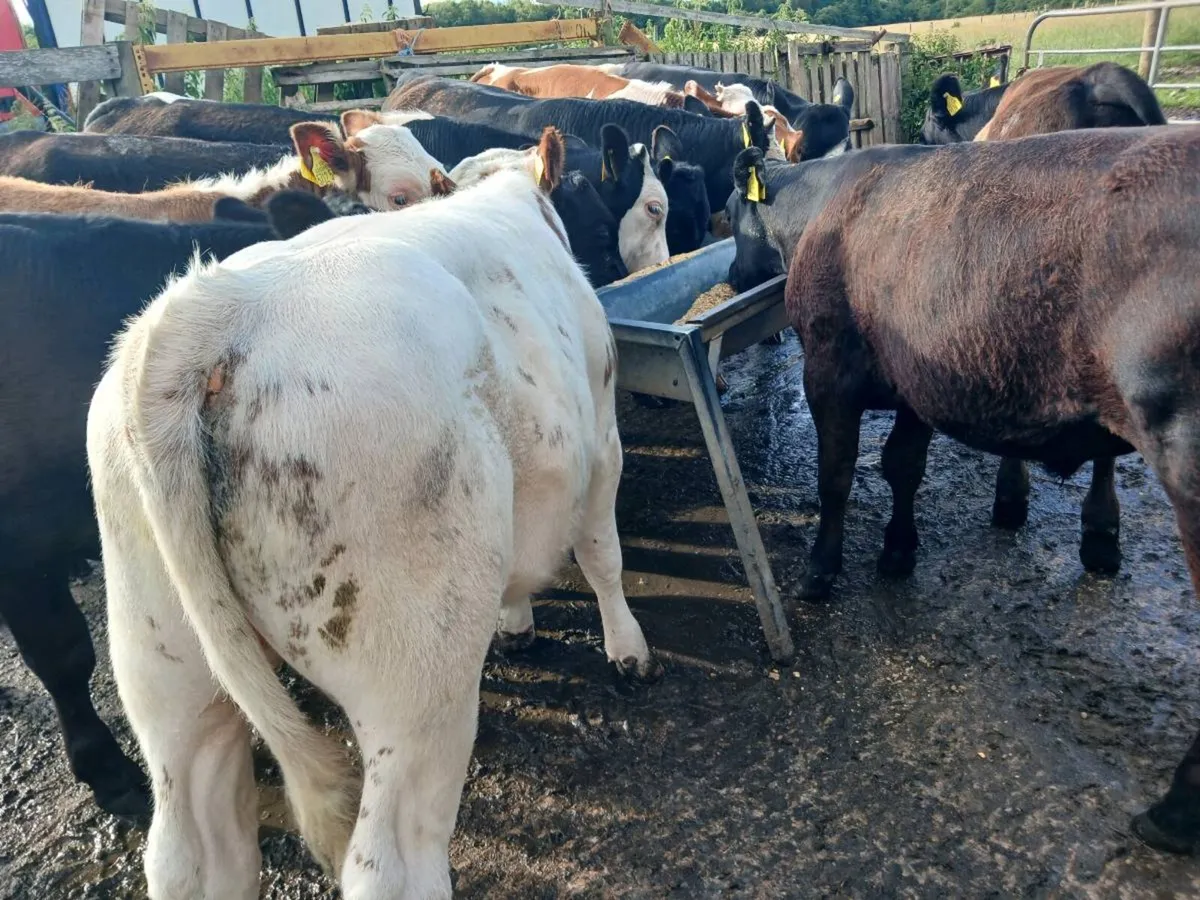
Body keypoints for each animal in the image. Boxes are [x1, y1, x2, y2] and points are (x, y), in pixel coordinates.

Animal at [86, 126, 660, 899]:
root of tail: (212, 310)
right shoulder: (602, 438)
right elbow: (602, 554)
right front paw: (627, 649)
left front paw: (517, 622)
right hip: (416, 676)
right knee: (389, 861)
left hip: (164, 663)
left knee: (190, 846)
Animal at [730, 125, 1200, 858]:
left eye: (726, 214)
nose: (728, 275)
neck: (824, 201)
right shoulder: (915, 377)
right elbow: (902, 466)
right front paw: (898, 551)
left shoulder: (828, 368)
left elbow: (836, 475)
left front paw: (821, 569)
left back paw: (1176, 810)